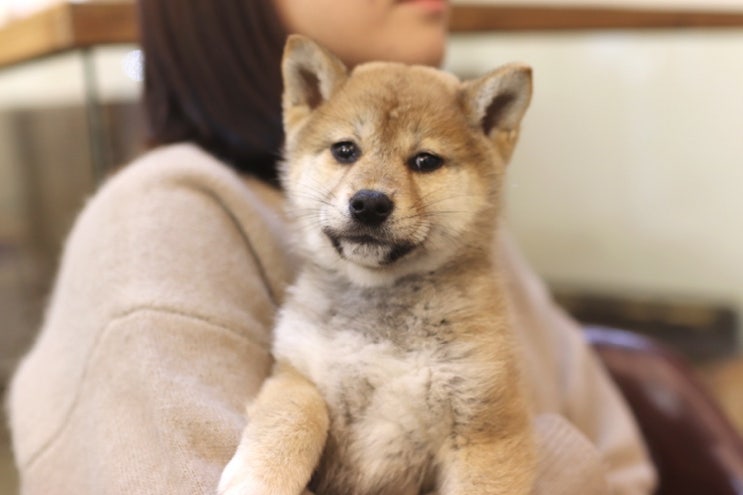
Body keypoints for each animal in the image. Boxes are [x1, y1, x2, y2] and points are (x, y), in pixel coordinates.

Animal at [219, 35, 536, 495]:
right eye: (345, 150)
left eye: (425, 161)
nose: (369, 203)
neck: (379, 304)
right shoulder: (297, 373)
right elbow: (291, 418)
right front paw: (259, 478)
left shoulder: (484, 425)